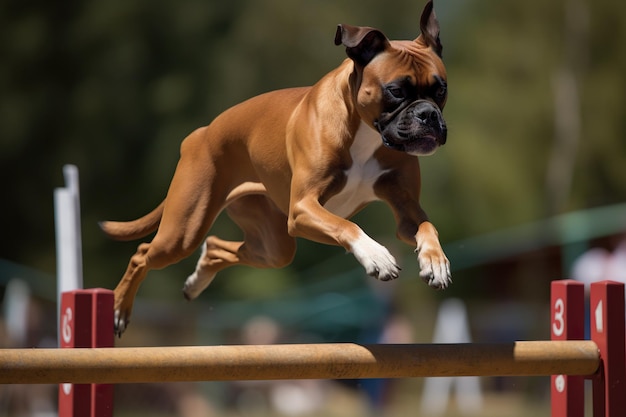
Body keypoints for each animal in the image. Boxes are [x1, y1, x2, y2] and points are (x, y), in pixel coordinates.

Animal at [101, 0, 448, 336]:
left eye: (441, 89)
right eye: (396, 91)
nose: (429, 114)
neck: (365, 131)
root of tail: (201, 133)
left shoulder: (405, 211)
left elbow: (427, 227)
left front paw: (435, 261)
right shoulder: (304, 207)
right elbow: (347, 226)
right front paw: (376, 255)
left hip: (273, 247)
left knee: (217, 247)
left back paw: (196, 280)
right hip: (182, 233)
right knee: (142, 253)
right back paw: (117, 309)